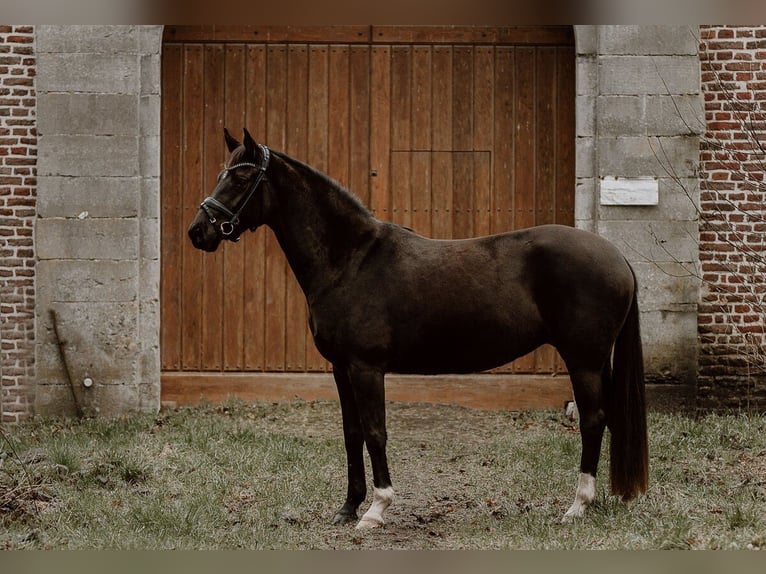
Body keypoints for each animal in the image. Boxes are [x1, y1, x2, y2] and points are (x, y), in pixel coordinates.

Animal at [186, 128, 648, 528]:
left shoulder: (366, 368)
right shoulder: (341, 369)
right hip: (596, 362)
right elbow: (352, 433)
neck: (350, 260)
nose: (198, 231)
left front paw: (377, 509)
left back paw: (577, 505)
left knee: (592, 420)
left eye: (241, 177)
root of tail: (616, 256)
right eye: (221, 174)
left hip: (582, 360)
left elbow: (376, 432)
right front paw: (348, 508)